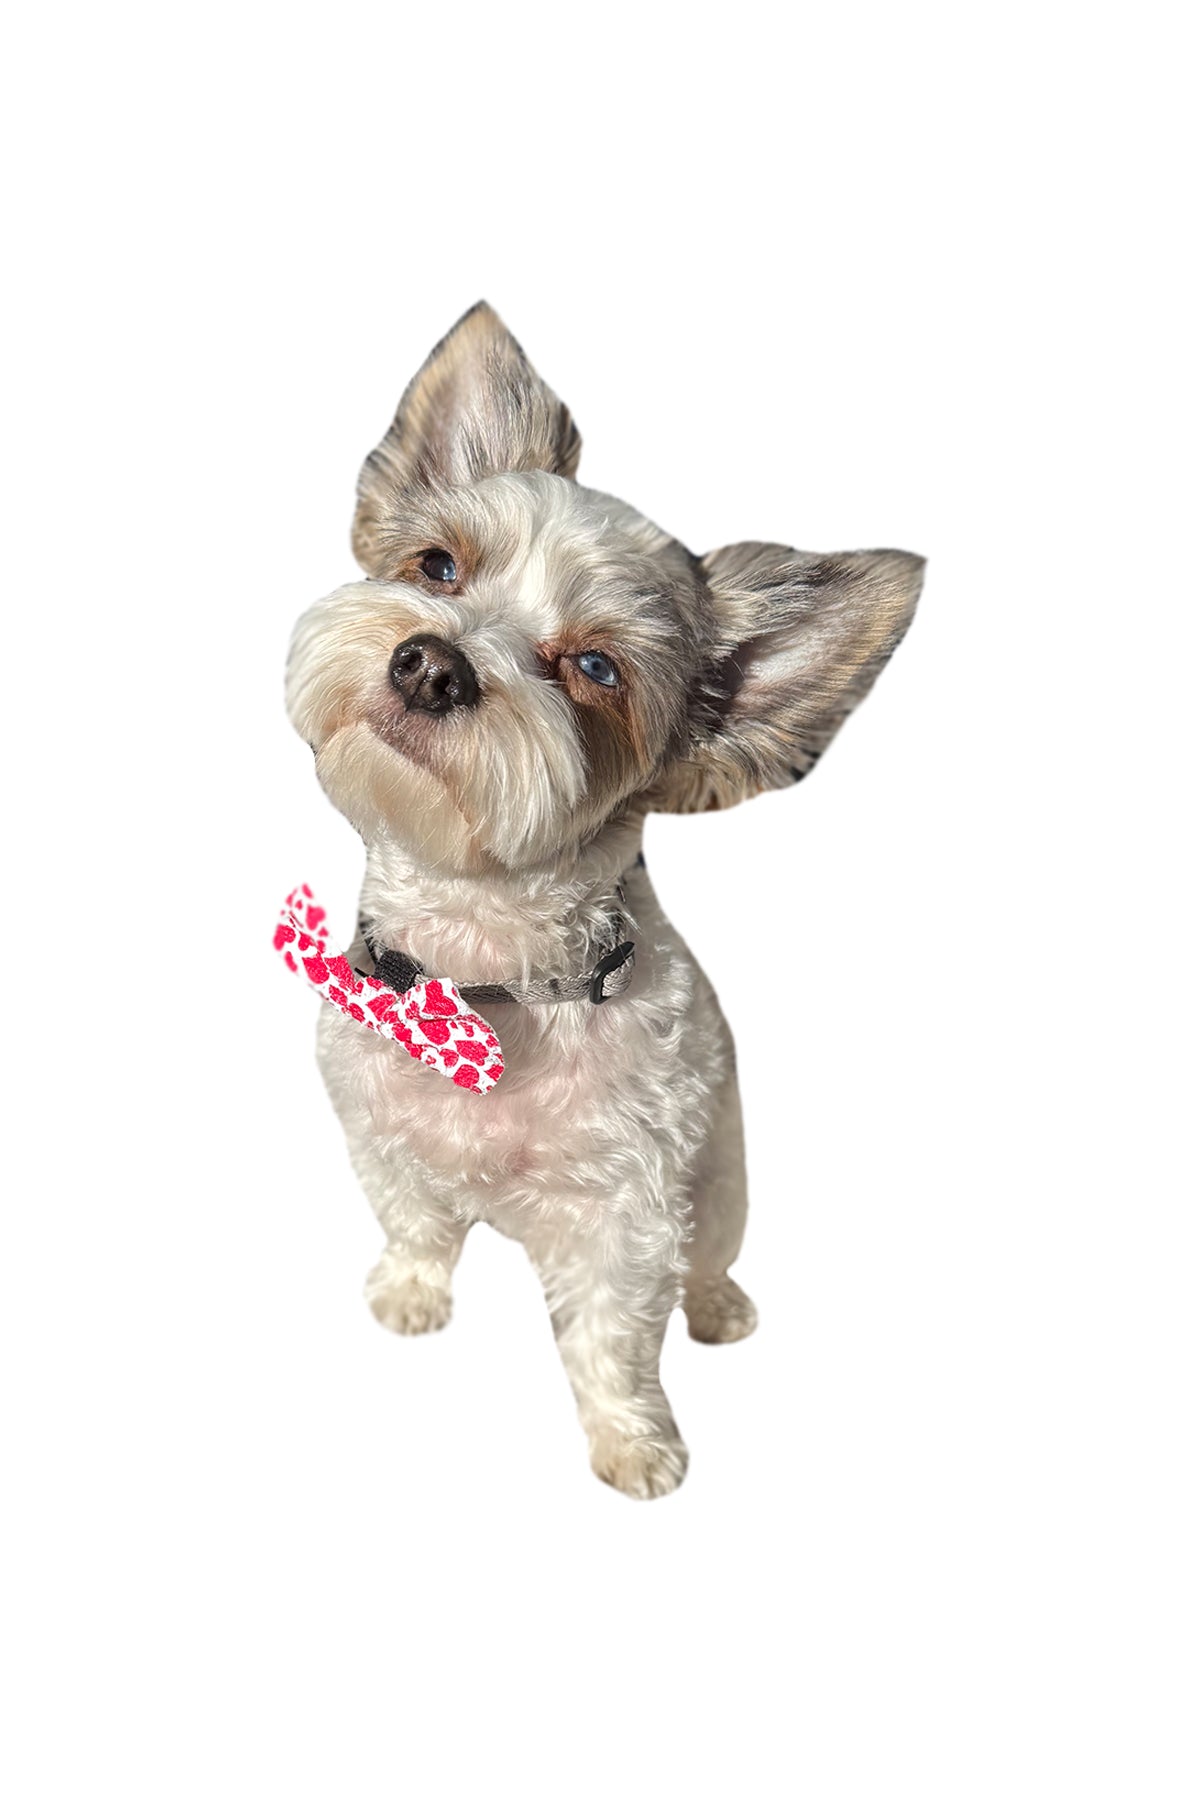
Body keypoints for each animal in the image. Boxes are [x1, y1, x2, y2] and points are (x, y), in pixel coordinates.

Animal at [286, 302, 928, 1497]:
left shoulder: (630, 1216)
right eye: (438, 565)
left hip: (722, 1180)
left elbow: (615, 1335)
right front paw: (410, 1290)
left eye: (596, 668)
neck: (485, 974)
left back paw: (718, 1305)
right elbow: (412, 1217)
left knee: (710, 1257)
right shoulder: (377, 1130)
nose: (432, 665)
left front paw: (635, 1440)